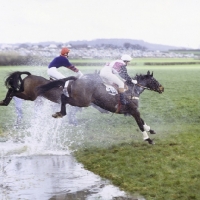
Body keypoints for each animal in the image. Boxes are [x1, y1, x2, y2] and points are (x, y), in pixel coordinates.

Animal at [36, 71, 165, 145]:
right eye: (154, 80)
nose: (162, 88)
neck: (132, 90)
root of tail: (77, 79)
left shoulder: (132, 111)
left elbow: (142, 122)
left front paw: (151, 130)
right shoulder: (134, 110)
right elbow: (140, 124)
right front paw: (148, 139)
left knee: (64, 99)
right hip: (82, 102)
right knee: (63, 98)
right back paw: (60, 113)